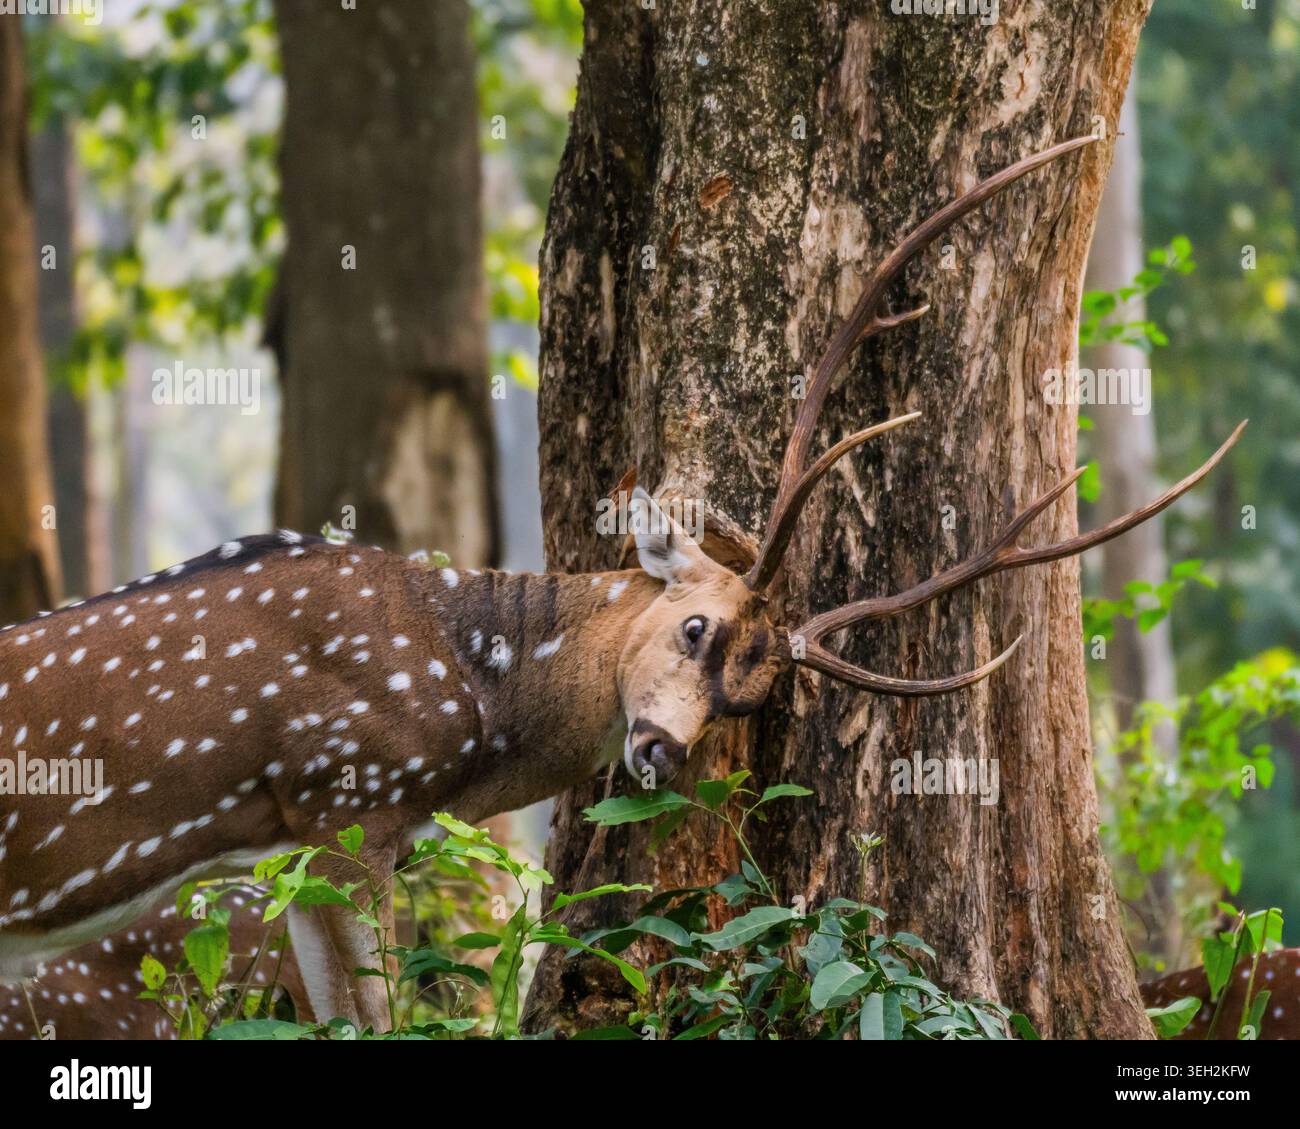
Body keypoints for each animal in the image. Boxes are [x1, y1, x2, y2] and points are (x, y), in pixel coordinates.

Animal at [0, 135, 1246, 1034]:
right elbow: (373, 1019)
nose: (656, 748)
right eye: (693, 626)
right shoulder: (346, 794)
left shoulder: (297, 842)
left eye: (754, 693)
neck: (462, 693)